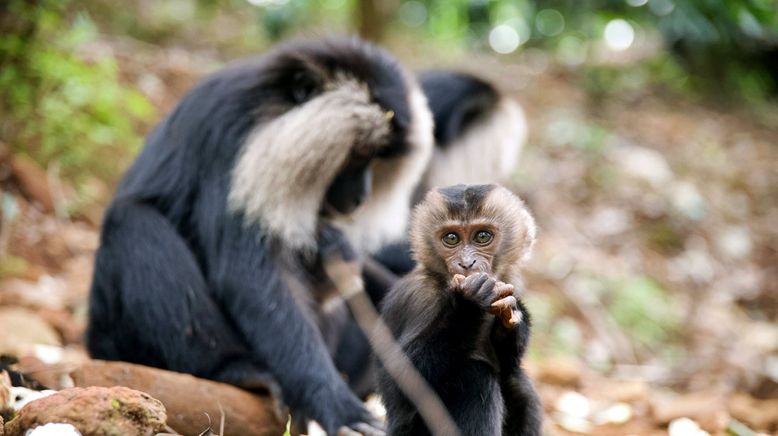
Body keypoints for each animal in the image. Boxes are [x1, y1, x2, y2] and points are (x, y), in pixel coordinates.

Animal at [376, 184, 540, 436]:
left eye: (482, 236)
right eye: (451, 238)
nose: (467, 263)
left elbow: (508, 365)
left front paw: (513, 317)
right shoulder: (421, 297)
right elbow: (402, 381)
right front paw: (468, 304)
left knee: (517, 386)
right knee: (474, 376)